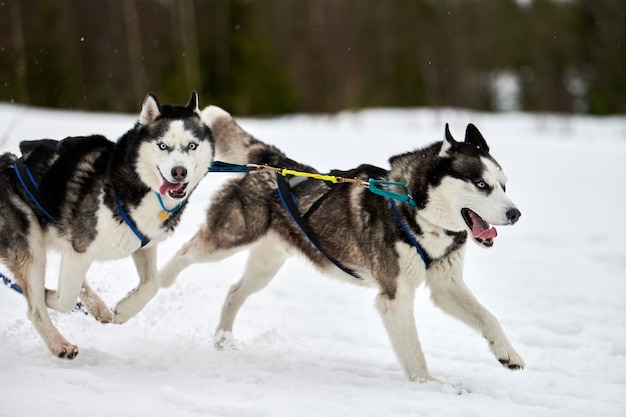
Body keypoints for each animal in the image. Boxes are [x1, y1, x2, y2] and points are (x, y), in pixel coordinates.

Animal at [0, 91, 213, 358]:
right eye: (162, 145)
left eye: (192, 145)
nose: (179, 172)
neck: (137, 186)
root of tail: (6, 164)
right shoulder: (80, 247)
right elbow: (63, 300)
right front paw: (51, 297)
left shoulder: (143, 246)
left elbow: (152, 285)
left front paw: (124, 310)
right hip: (32, 245)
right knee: (36, 308)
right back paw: (59, 342)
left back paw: (97, 307)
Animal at [160, 106, 520, 380]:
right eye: (481, 184)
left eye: (503, 185)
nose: (515, 213)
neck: (414, 208)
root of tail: (273, 161)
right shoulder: (395, 297)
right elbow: (415, 354)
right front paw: (431, 386)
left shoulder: (446, 285)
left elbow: (488, 317)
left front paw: (508, 353)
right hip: (227, 239)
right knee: (184, 253)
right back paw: (159, 282)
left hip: (266, 264)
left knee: (235, 293)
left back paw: (223, 341)